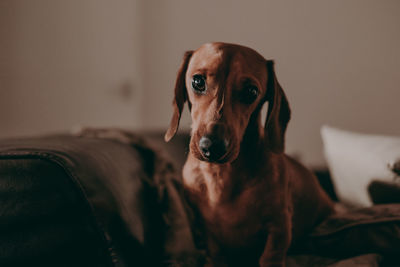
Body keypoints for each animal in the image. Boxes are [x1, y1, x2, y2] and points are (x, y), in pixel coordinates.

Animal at [164, 43, 336, 266]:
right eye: (197, 81)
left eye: (251, 92)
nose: (212, 147)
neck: (220, 176)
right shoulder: (210, 237)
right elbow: (215, 254)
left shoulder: (279, 227)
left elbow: (270, 256)